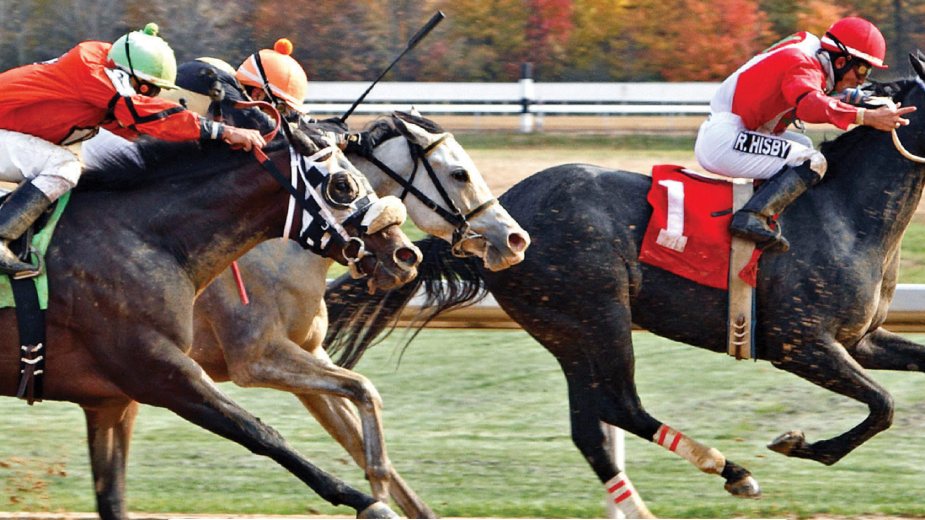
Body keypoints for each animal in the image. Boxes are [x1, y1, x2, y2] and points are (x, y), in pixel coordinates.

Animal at [0, 117, 416, 516]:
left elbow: (113, 499)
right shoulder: (162, 372)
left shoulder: (111, 401)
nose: (405, 254)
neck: (145, 238)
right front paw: (367, 500)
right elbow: (261, 432)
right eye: (342, 185)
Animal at [324, 54, 925, 516]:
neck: (844, 213)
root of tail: (499, 223)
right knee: (620, 405)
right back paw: (732, 470)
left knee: (591, 427)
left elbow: (890, 394)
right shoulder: (800, 343)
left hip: (564, 328)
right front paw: (798, 443)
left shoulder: (859, 340)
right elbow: (884, 404)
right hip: (598, 314)